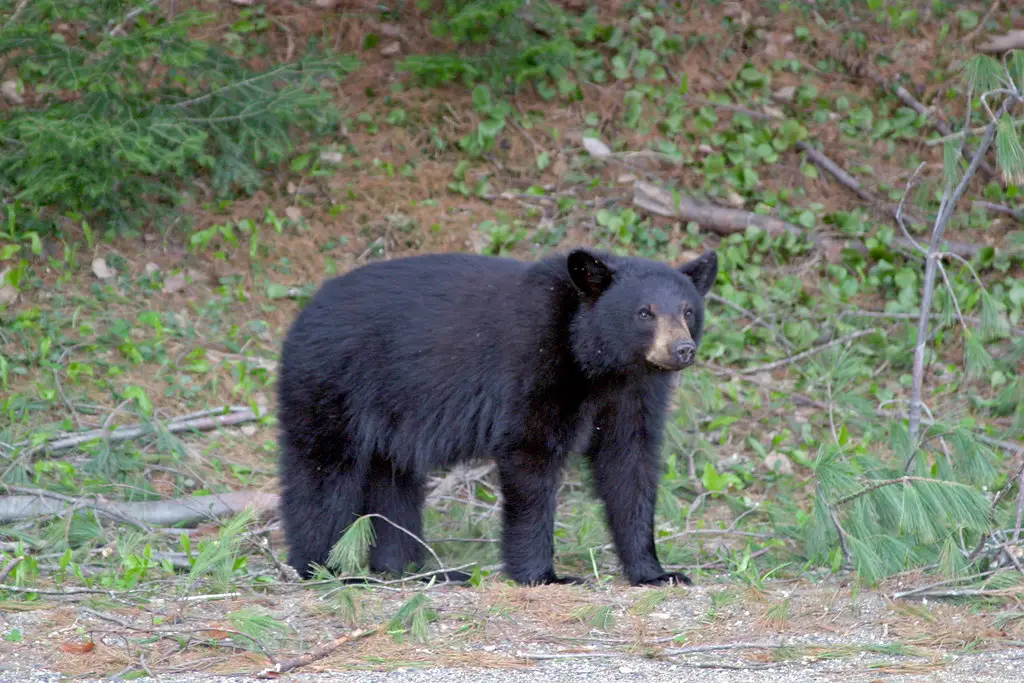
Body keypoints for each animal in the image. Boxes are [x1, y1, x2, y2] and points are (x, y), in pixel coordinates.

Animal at [276, 248, 716, 585]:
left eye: (687, 311)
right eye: (645, 313)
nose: (681, 349)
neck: (598, 363)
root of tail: (304, 312)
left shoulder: (633, 394)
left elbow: (630, 464)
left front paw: (656, 572)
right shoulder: (533, 365)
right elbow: (530, 453)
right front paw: (544, 575)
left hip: (392, 415)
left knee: (394, 479)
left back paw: (413, 569)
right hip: (334, 385)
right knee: (323, 472)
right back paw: (327, 569)